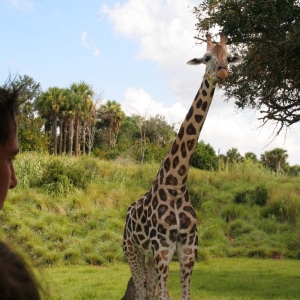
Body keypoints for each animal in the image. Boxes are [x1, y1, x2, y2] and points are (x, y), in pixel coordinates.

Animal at [123, 34, 243, 298]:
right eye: (206, 58)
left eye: (229, 56)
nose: (223, 72)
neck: (176, 185)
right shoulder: (163, 251)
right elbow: (165, 295)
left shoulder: (188, 253)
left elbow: (183, 295)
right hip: (131, 251)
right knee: (140, 290)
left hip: (147, 257)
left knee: (148, 290)